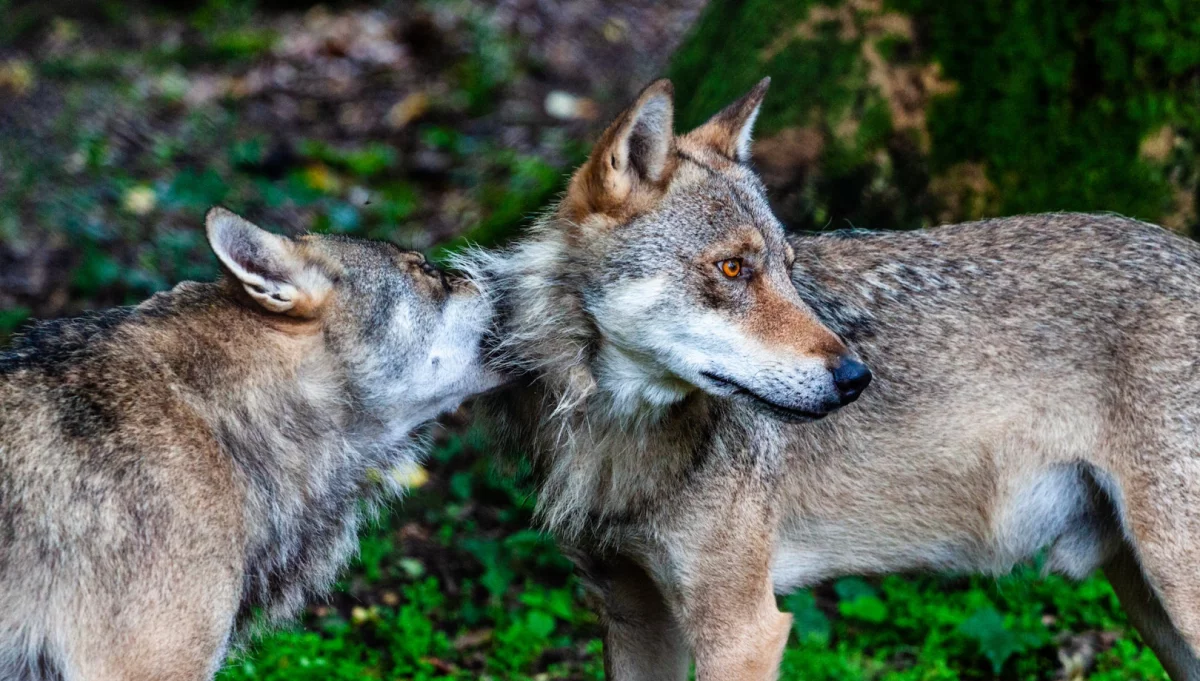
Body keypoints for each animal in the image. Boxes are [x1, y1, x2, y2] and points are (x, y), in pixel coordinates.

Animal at [458, 77, 1200, 676]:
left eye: (789, 268)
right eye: (734, 268)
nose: (856, 376)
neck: (618, 436)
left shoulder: (744, 632)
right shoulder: (631, 612)